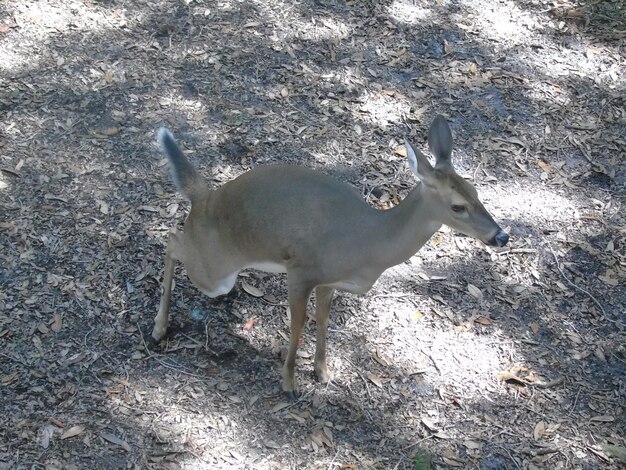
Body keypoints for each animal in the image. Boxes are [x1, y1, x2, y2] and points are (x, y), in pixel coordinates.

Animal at [151, 115, 508, 398]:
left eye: (476, 192)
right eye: (457, 207)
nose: (500, 236)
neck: (367, 242)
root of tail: (203, 199)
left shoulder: (328, 281)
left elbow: (322, 319)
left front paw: (322, 372)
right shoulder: (301, 269)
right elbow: (297, 323)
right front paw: (289, 383)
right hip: (215, 269)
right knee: (171, 239)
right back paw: (159, 328)